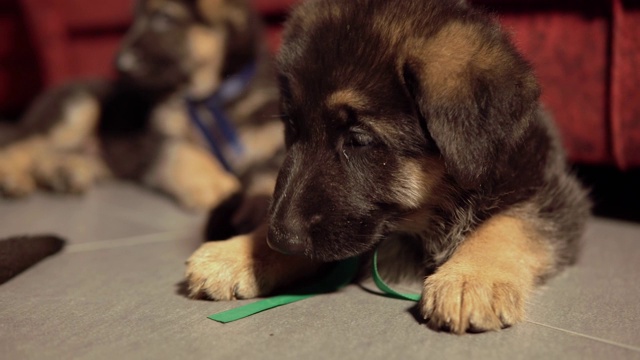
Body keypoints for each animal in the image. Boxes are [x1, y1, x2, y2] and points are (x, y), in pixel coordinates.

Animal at [0, 0, 282, 217]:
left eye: (165, 17)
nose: (118, 64)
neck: (213, 98)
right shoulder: (159, 143)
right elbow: (184, 152)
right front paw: (214, 182)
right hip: (78, 110)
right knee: (20, 145)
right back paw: (12, 179)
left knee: (43, 155)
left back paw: (62, 175)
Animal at [184, 0, 592, 334]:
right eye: (292, 127)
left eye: (359, 140)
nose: (280, 240)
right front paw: (241, 252)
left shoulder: (551, 196)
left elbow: (507, 225)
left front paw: (471, 278)